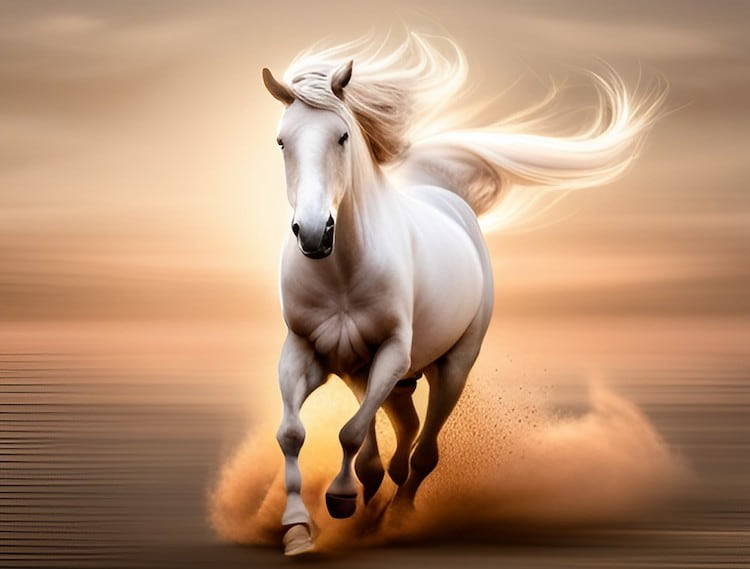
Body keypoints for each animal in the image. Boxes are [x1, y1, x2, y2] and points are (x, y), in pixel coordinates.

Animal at [261, 34, 663, 555]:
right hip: (377, 374)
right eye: (282, 141)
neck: (343, 274)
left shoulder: (392, 352)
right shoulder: (308, 352)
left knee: (423, 452)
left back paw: (397, 516)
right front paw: (297, 529)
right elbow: (294, 433)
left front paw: (341, 498)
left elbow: (350, 434)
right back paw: (373, 511)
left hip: (452, 366)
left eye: (342, 136)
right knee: (400, 437)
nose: (313, 234)